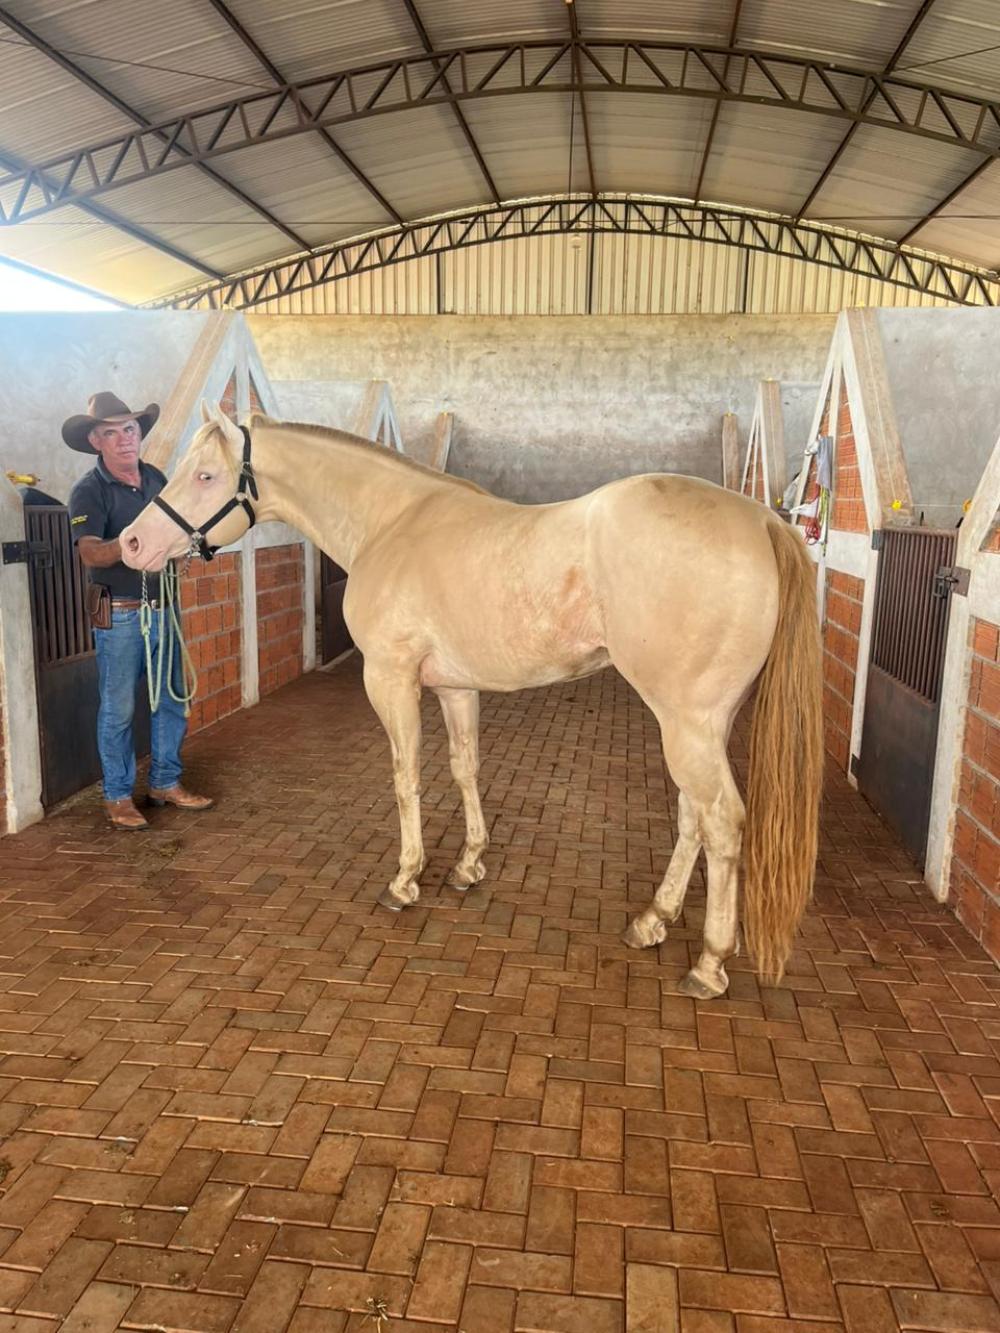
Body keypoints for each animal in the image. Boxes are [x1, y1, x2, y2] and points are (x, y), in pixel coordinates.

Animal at [120, 402, 823, 998]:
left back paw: (708, 963)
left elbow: (406, 775)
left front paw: (406, 879)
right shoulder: (457, 688)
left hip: (687, 723)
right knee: (692, 816)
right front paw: (468, 865)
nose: (131, 544)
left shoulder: (390, 679)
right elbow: (465, 768)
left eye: (206, 474)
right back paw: (653, 919)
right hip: (703, 722)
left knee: (723, 821)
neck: (390, 522)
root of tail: (763, 520)